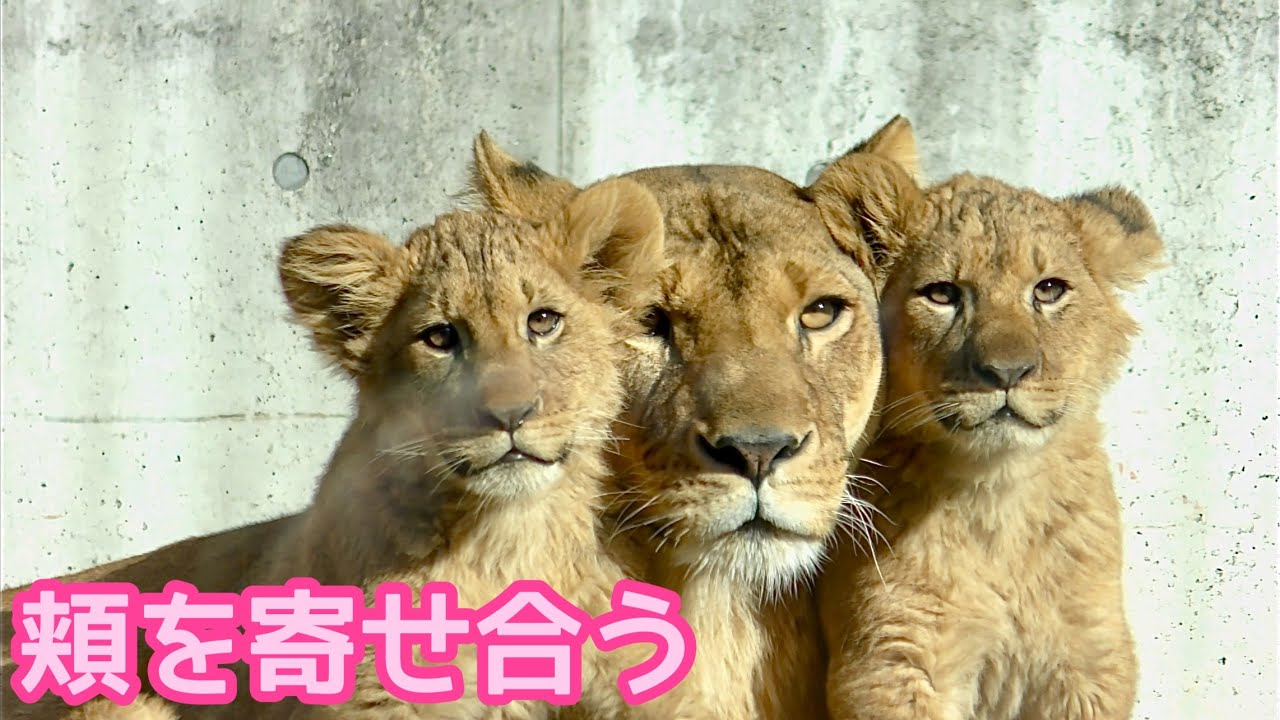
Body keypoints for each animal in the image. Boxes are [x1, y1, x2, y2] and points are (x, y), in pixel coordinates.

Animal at [819, 172, 1166, 719]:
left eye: (1049, 289)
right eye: (942, 294)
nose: (1007, 372)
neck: (999, 495)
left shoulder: (1089, 655)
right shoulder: (890, 657)